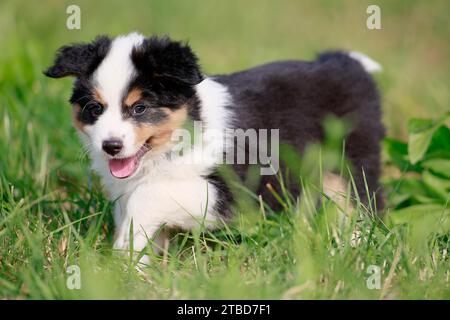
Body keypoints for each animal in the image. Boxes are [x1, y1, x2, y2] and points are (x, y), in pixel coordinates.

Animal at [44, 32, 384, 260]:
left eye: (139, 108)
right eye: (95, 109)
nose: (110, 146)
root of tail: (347, 64)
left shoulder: (229, 190)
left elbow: (146, 199)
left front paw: (122, 261)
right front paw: (138, 268)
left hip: (351, 162)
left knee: (362, 203)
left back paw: (354, 248)